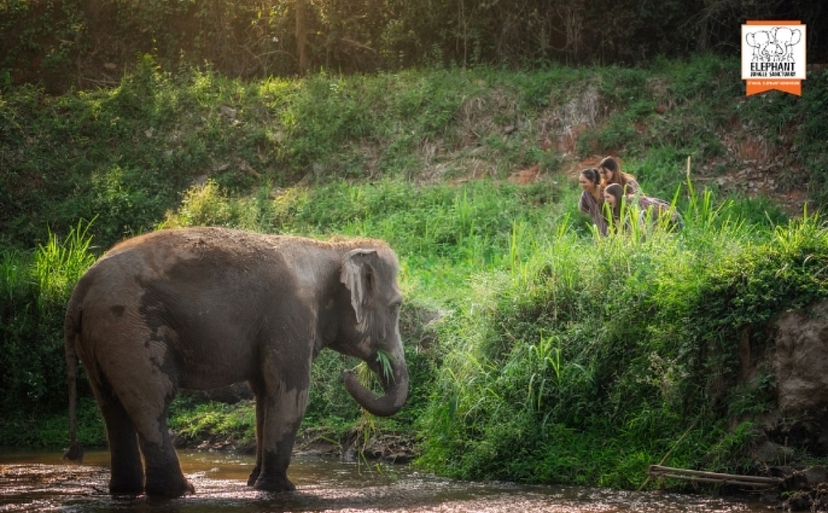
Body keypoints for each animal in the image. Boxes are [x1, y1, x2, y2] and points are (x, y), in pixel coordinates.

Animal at [63, 227, 408, 498]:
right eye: (396, 307)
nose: (348, 374)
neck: (330, 249)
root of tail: (80, 288)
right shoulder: (290, 316)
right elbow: (290, 394)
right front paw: (280, 489)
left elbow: (265, 395)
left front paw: (255, 483)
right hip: (129, 329)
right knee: (152, 400)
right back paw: (178, 492)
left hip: (100, 339)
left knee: (111, 406)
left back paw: (126, 492)